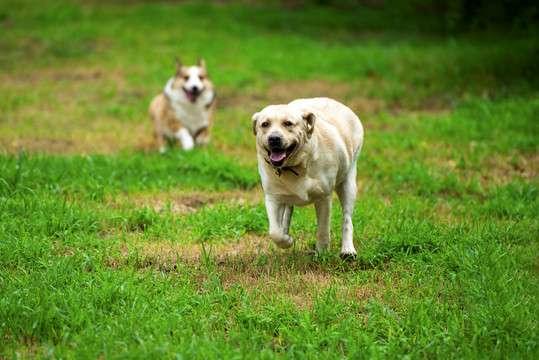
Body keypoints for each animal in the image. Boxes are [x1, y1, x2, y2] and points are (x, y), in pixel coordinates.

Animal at [252, 97, 362, 258]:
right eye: (265, 124)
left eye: (288, 123)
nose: (274, 138)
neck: (295, 166)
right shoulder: (273, 197)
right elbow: (275, 232)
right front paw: (287, 240)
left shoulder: (324, 197)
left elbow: (323, 228)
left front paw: (322, 252)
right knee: (287, 212)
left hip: (348, 183)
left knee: (347, 219)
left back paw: (348, 250)